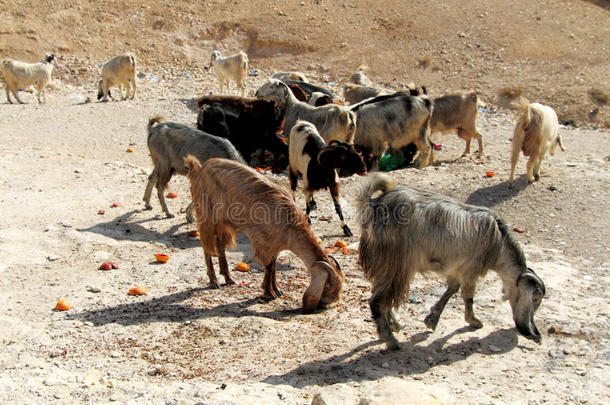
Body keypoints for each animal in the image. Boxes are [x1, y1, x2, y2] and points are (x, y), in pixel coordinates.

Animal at [183, 155, 344, 312]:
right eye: (330, 287)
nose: (324, 304)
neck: (289, 223)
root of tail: (199, 169)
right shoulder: (261, 240)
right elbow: (268, 265)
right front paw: (268, 293)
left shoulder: (274, 245)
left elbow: (273, 265)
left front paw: (276, 290)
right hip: (206, 215)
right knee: (207, 246)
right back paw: (213, 281)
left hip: (225, 222)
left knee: (220, 246)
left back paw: (228, 278)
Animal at [354, 174, 544, 350]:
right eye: (535, 298)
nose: (536, 334)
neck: (499, 242)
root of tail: (372, 205)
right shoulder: (471, 269)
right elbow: (467, 295)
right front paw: (474, 321)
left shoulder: (456, 268)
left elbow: (452, 288)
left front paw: (432, 319)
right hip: (397, 264)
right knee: (377, 301)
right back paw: (391, 341)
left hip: (385, 265)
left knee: (381, 295)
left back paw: (395, 325)